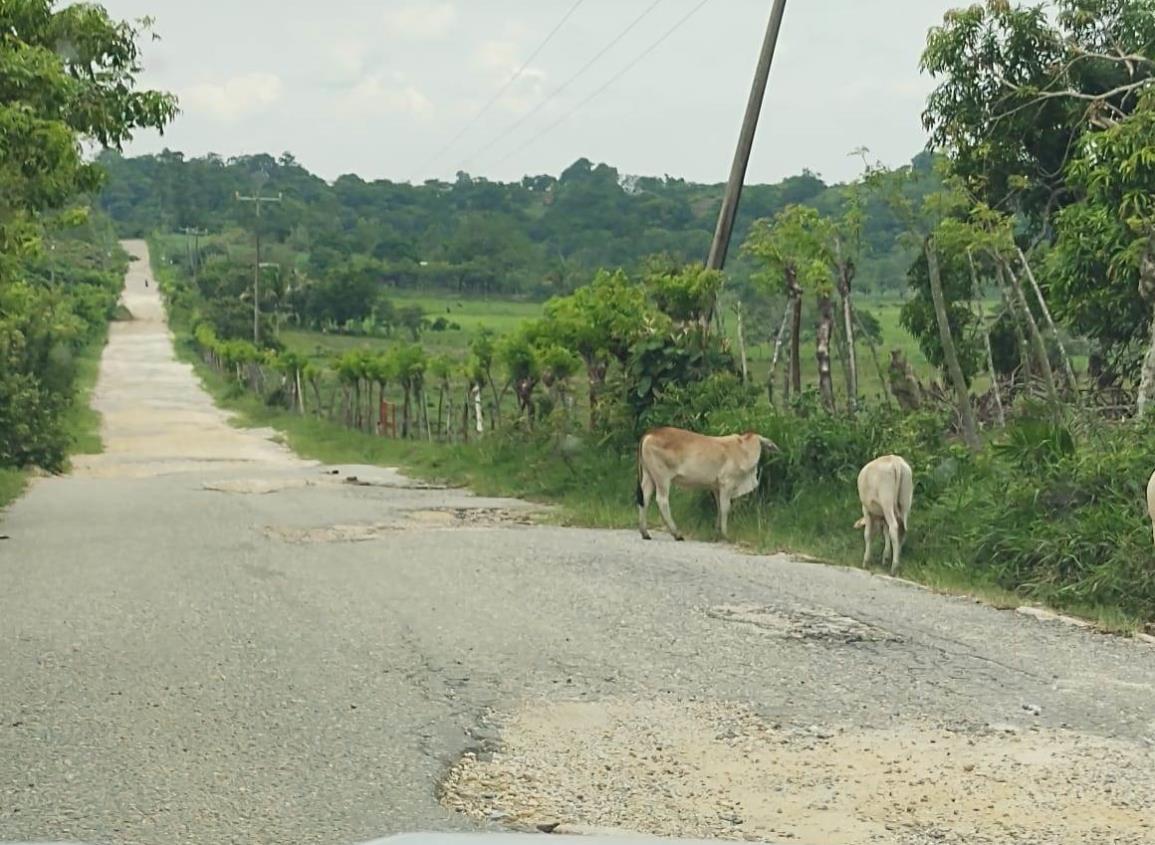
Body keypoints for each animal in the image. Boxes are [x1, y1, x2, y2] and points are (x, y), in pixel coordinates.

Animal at [637, 429, 780, 540]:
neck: (742, 450)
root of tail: (651, 433)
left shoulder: (717, 488)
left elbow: (719, 508)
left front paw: (717, 532)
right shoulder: (726, 484)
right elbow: (725, 508)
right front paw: (725, 534)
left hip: (649, 477)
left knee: (645, 499)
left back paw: (645, 533)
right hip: (662, 478)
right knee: (662, 501)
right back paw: (676, 533)